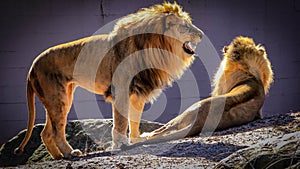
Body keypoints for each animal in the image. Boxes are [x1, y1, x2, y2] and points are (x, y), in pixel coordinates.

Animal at [12, 1, 203, 159]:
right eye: (186, 26)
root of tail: (32, 67)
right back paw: (70, 153)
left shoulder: (138, 92)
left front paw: (136, 139)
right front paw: (121, 144)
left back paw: (58, 157)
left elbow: (135, 119)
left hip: (57, 100)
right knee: (57, 132)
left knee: (45, 133)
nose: (201, 34)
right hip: (59, 99)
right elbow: (121, 121)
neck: (158, 48)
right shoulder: (121, 90)